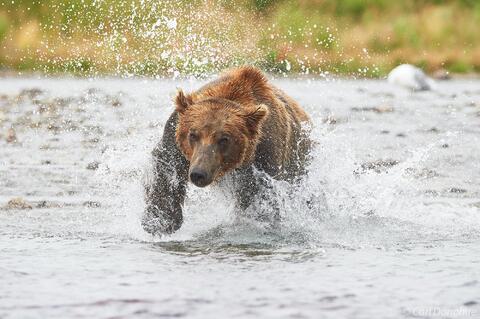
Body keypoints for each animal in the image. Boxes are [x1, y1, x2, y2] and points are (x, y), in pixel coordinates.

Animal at [143, 66, 312, 235]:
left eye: (224, 139)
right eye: (193, 134)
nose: (199, 173)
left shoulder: (265, 152)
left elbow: (259, 195)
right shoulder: (175, 135)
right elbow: (166, 169)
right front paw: (160, 220)